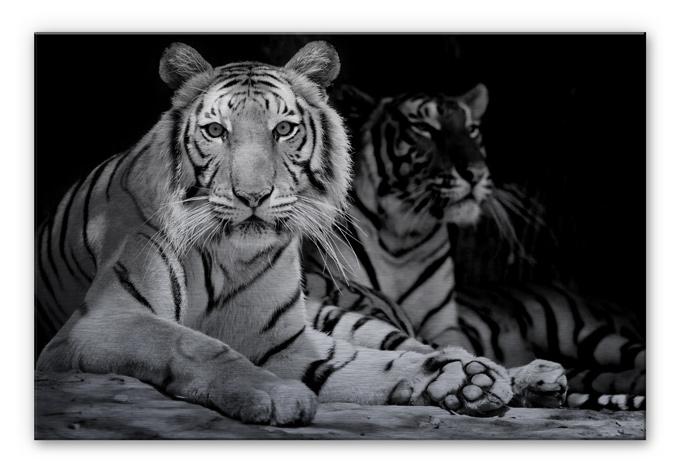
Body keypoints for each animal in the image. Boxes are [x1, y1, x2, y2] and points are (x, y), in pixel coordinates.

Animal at [35, 41, 518, 427]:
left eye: (284, 129)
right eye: (216, 131)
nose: (253, 195)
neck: (230, 255)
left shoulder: (285, 341)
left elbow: (360, 362)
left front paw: (462, 378)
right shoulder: (104, 321)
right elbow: (193, 343)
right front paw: (277, 394)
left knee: (404, 340)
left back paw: (493, 370)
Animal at [303, 83, 645, 411]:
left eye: (472, 129)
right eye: (424, 128)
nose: (476, 174)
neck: (403, 238)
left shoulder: (442, 327)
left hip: (587, 333)